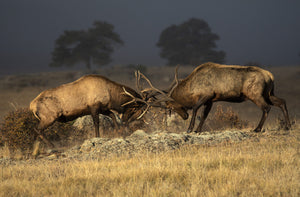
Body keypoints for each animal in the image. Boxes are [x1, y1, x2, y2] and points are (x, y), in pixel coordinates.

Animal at [138, 62, 290, 133]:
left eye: (170, 106)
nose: (184, 116)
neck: (191, 88)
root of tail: (270, 76)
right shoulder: (210, 100)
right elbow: (204, 115)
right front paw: (198, 130)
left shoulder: (206, 95)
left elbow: (195, 109)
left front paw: (190, 129)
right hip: (269, 93)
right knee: (282, 101)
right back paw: (288, 125)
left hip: (255, 94)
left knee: (266, 107)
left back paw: (257, 128)